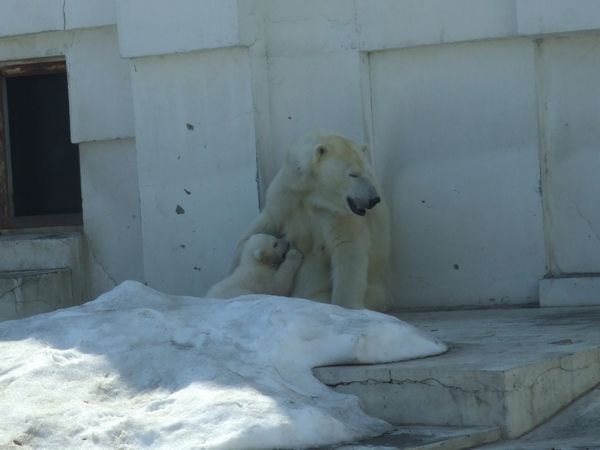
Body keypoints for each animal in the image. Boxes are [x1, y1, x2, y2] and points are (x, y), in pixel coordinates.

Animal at [231, 131, 391, 311]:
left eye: (369, 173)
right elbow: (263, 225)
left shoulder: (336, 213)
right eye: (353, 174)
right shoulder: (286, 195)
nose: (374, 199)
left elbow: (348, 249)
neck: (313, 193)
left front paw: (345, 306)